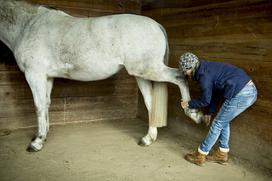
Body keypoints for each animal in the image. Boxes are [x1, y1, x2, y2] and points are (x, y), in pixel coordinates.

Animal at [0, 0, 202, 152]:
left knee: (180, 77)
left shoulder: (35, 74)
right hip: (142, 74)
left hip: (149, 69)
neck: (28, 25)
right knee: (150, 101)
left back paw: (194, 114)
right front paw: (43, 135)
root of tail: (156, 25)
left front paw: (37, 142)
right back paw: (148, 138)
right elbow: (46, 104)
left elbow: (39, 105)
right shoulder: (47, 76)